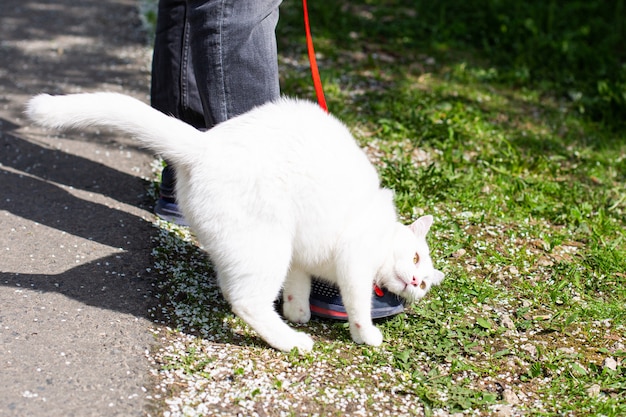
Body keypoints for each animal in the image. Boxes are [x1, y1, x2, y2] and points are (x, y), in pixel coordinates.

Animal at [25, 92, 444, 352]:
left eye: (424, 283)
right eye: (417, 259)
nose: (415, 281)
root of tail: (205, 144)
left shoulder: (300, 256)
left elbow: (297, 286)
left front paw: (298, 311)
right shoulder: (354, 259)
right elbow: (357, 302)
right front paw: (366, 333)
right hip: (267, 245)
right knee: (245, 301)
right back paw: (291, 342)